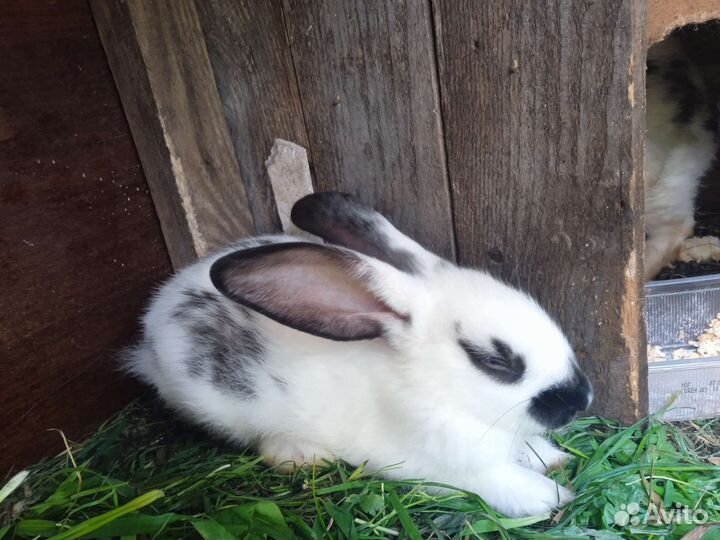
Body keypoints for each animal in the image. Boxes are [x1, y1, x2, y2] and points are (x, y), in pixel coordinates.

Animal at [125, 191, 592, 518]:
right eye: (495, 361)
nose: (582, 399)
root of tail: (154, 319)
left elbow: (528, 449)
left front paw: (552, 458)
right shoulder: (448, 469)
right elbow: (501, 481)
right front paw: (551, 495)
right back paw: (301, 455)